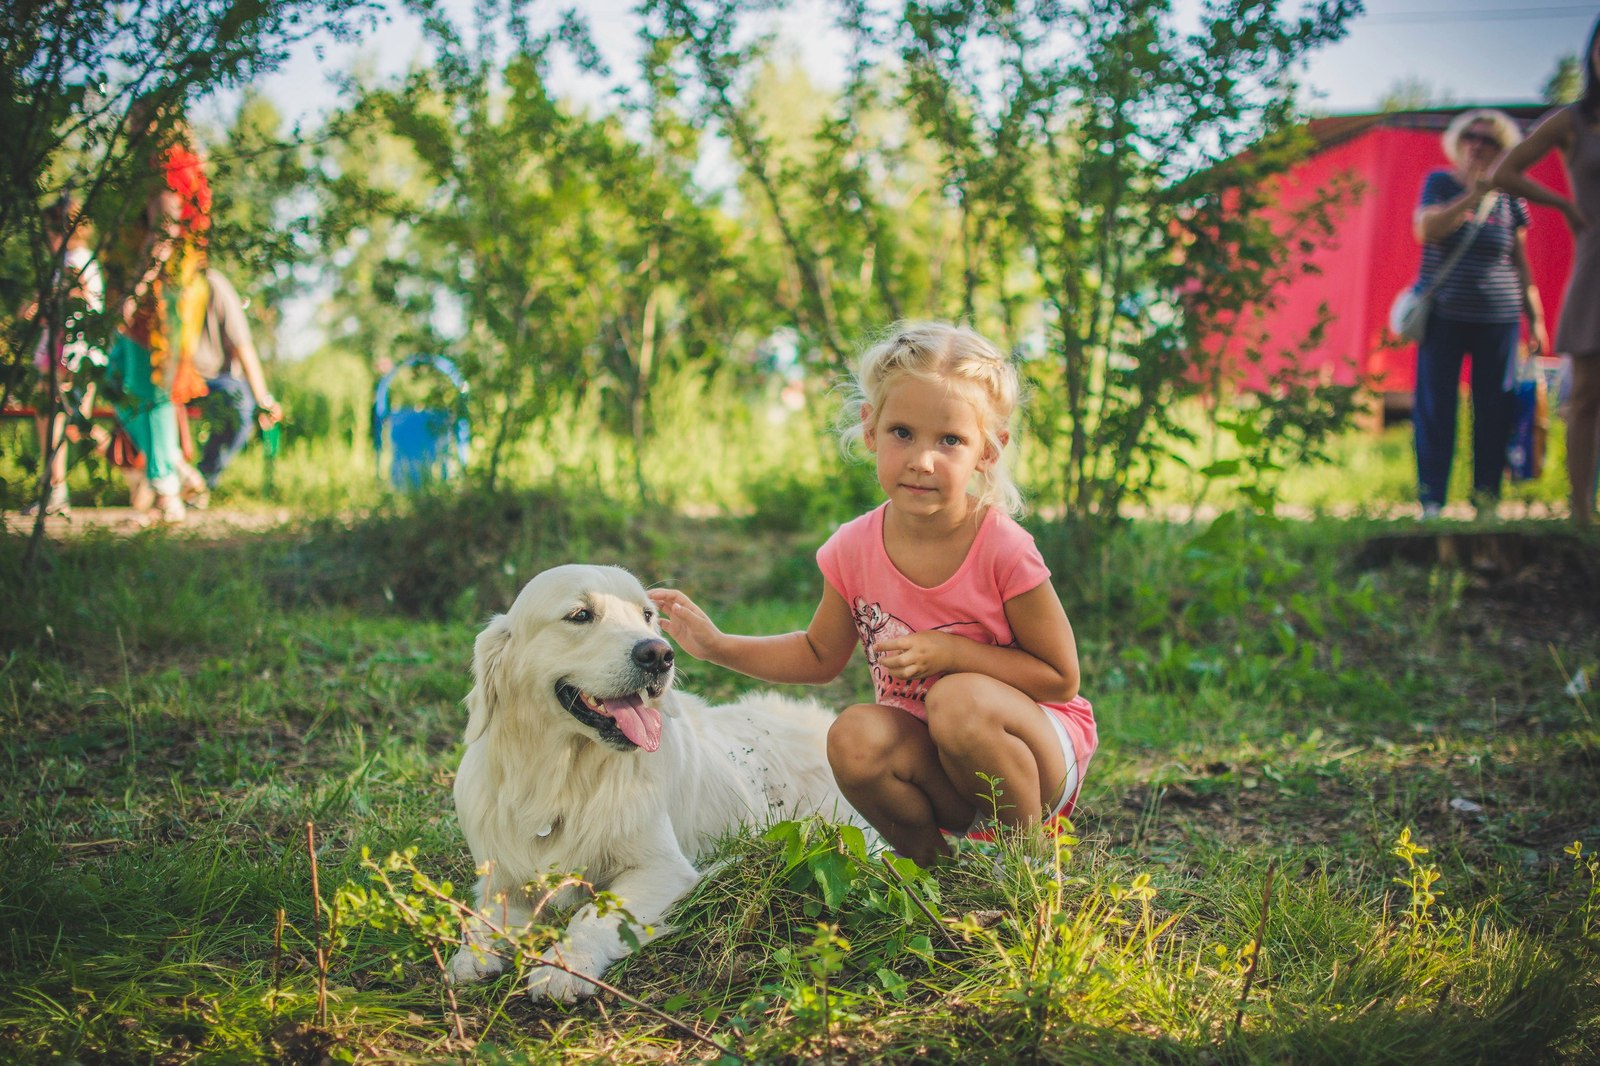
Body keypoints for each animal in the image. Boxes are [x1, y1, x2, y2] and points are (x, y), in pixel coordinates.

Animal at [444, 560, 870, 998]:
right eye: (580, 615)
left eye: (647, 615)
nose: (659, 654)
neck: (562, 778)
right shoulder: (503, 877)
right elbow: (483, 916)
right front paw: (471, 955)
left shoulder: (662, 868)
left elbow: (591, 912)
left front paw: (565, 965)